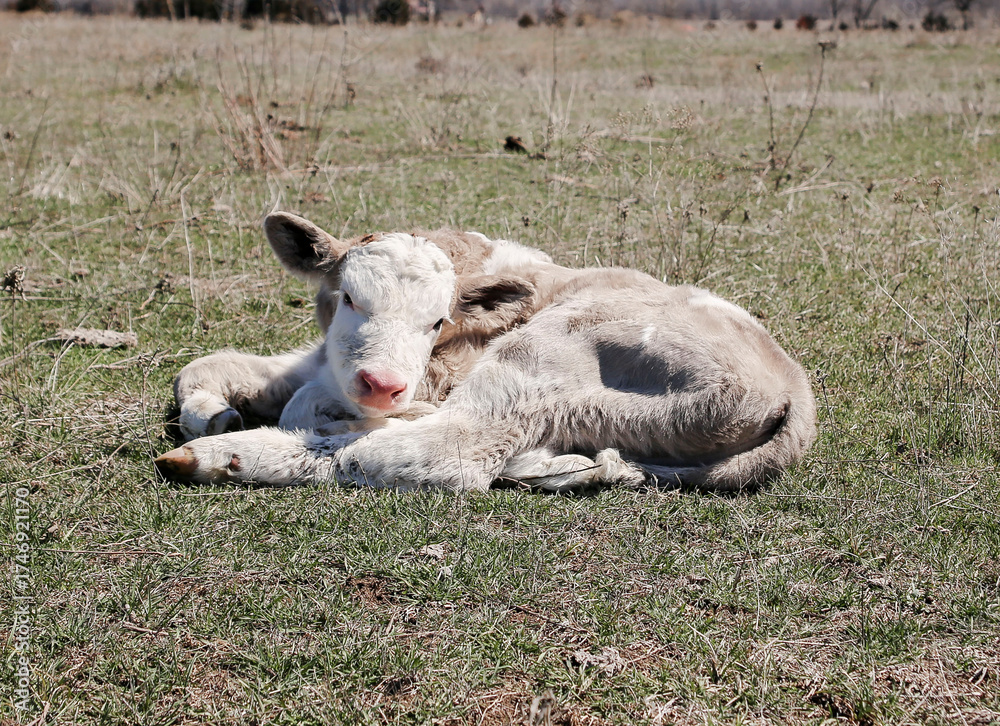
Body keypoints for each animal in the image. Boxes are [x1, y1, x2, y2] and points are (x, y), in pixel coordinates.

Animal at [157, 213, 817, 493]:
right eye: (347, 297)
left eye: (437, 321)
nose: (382, 385)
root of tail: (792, 394)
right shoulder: (319, 359)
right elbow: (209, 366)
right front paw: (214, 411)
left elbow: (305, 406)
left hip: (541, 356)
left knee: (441, 454)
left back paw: (216, 458)